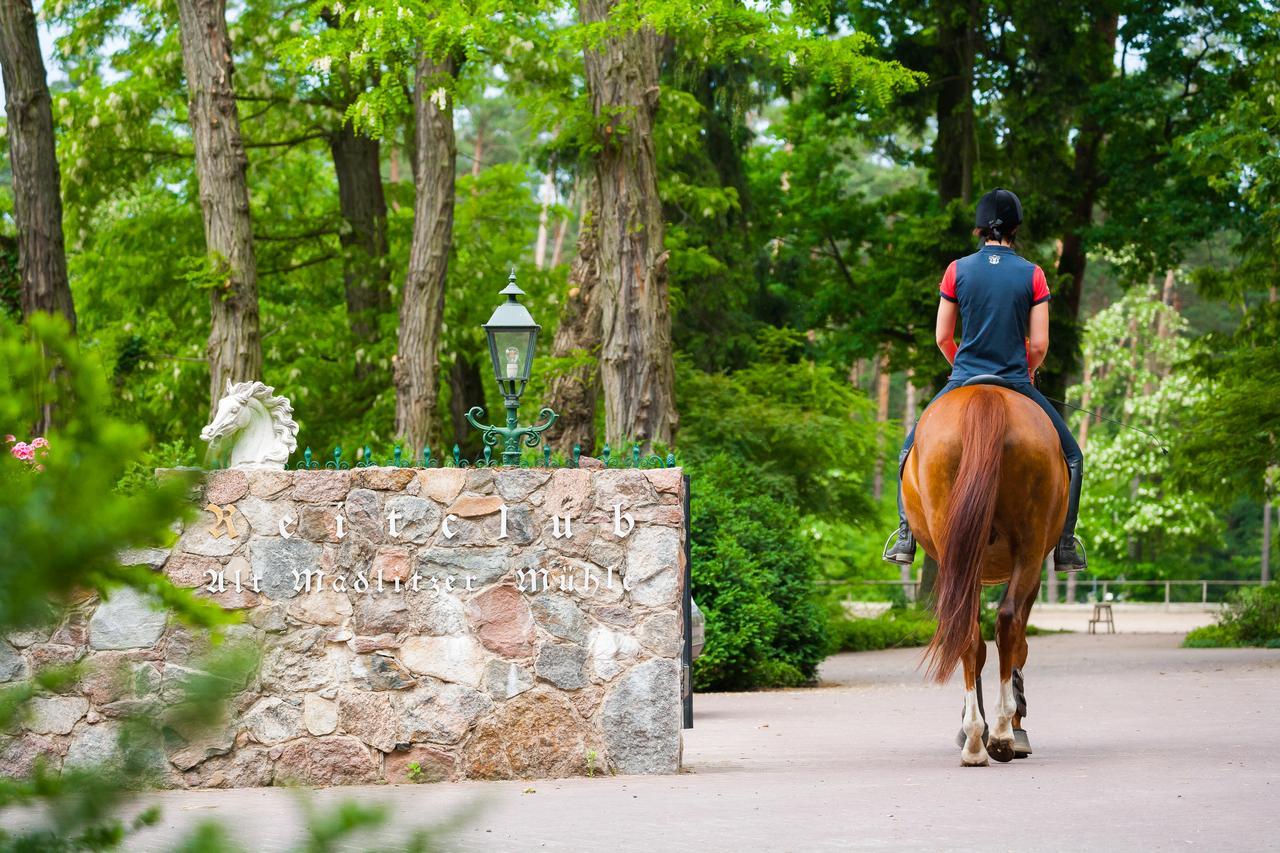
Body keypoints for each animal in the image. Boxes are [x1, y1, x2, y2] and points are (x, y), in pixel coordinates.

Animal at [901, 381, 1070, 758]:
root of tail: (986, 395)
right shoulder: (1032, 573)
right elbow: (1019, 644)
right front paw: (1014, 723)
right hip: (1029, 549)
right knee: (1007, 623)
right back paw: (1003, 731)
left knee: (968, 629)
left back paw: (977, 738)